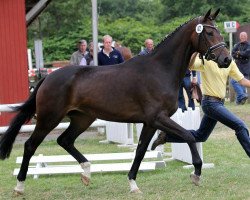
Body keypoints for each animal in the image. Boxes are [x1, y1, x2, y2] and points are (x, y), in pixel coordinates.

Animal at [0, 8, 231, 195]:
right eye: (209, 33)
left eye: (219, 31)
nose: (227, 59)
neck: (160, 70)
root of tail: (47, 77)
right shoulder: (158, 118)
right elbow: (189, 137)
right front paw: (196, 173)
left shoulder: (150, 122)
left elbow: (140, 151)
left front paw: (133, 185)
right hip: (49, 118)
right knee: (30, 145)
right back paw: (19, 187)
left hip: (82, 119)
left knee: (64, 140)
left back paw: (87, 173)